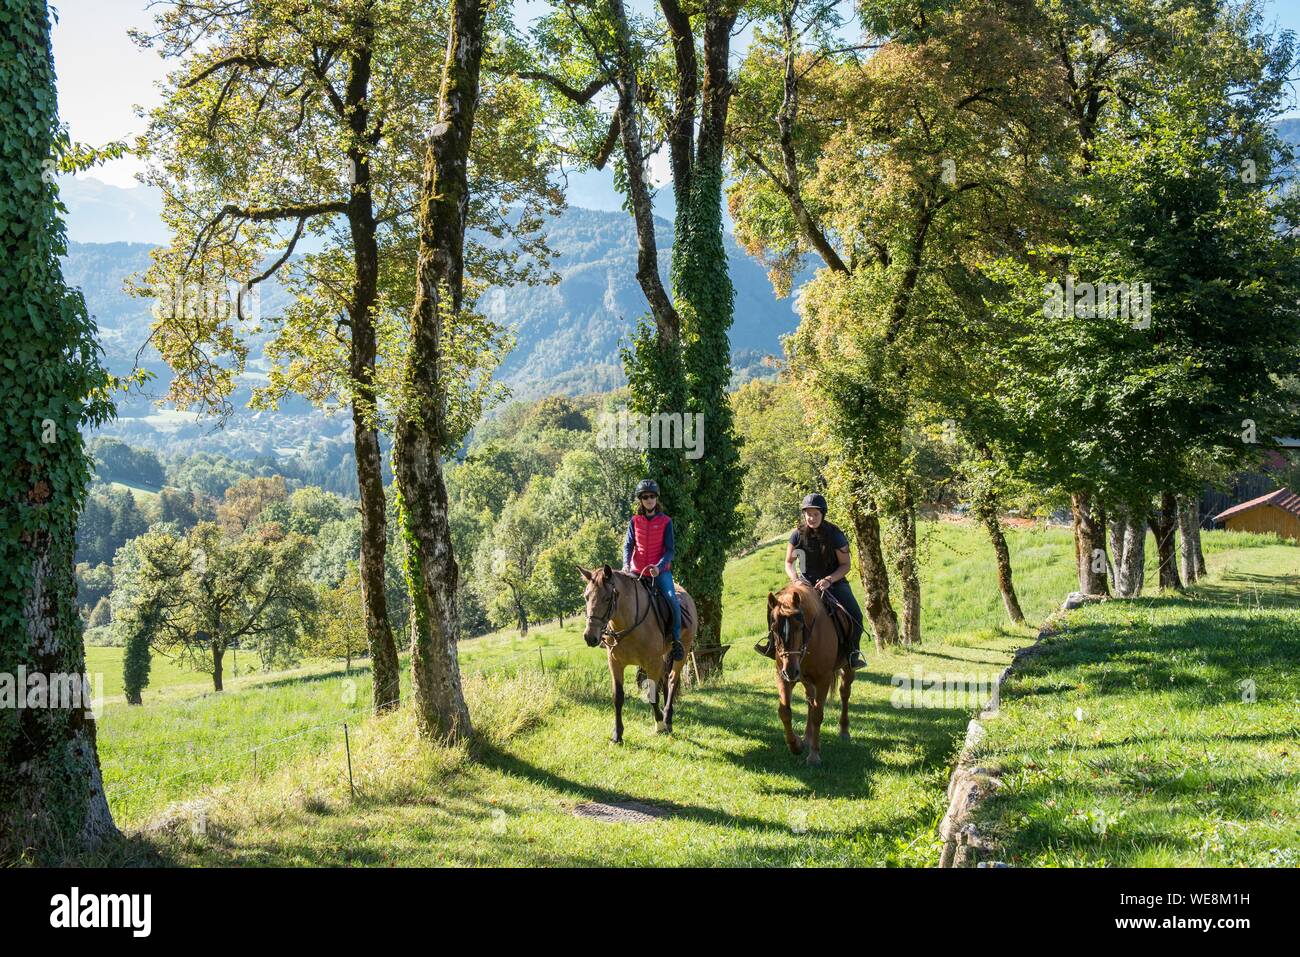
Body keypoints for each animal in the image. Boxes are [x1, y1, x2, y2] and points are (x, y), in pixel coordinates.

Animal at [579, 564, 696, 743]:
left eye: (607, 598)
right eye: (586, 597)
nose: (590, 637)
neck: (629, 623)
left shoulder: (652, 663)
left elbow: (652, 694)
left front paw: (659, 725)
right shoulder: (615, 663)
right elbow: (618, 697)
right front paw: (617, 734)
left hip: (682, 652)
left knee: (672, 680)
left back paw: (667, 719)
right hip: (664, 655)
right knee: (666, 680)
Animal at [764, 579, 857, 764]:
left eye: (800, 626)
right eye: (774, 628)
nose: (791, 671)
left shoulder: (823, 679)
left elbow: (817, 715)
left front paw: (814, 756)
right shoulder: (783, 677)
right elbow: (785, 711)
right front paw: (796, 746)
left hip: (848, 667)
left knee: (844, 693)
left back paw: (844, 731)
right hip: (805, 679)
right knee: (810, 700)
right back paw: (807, 737)